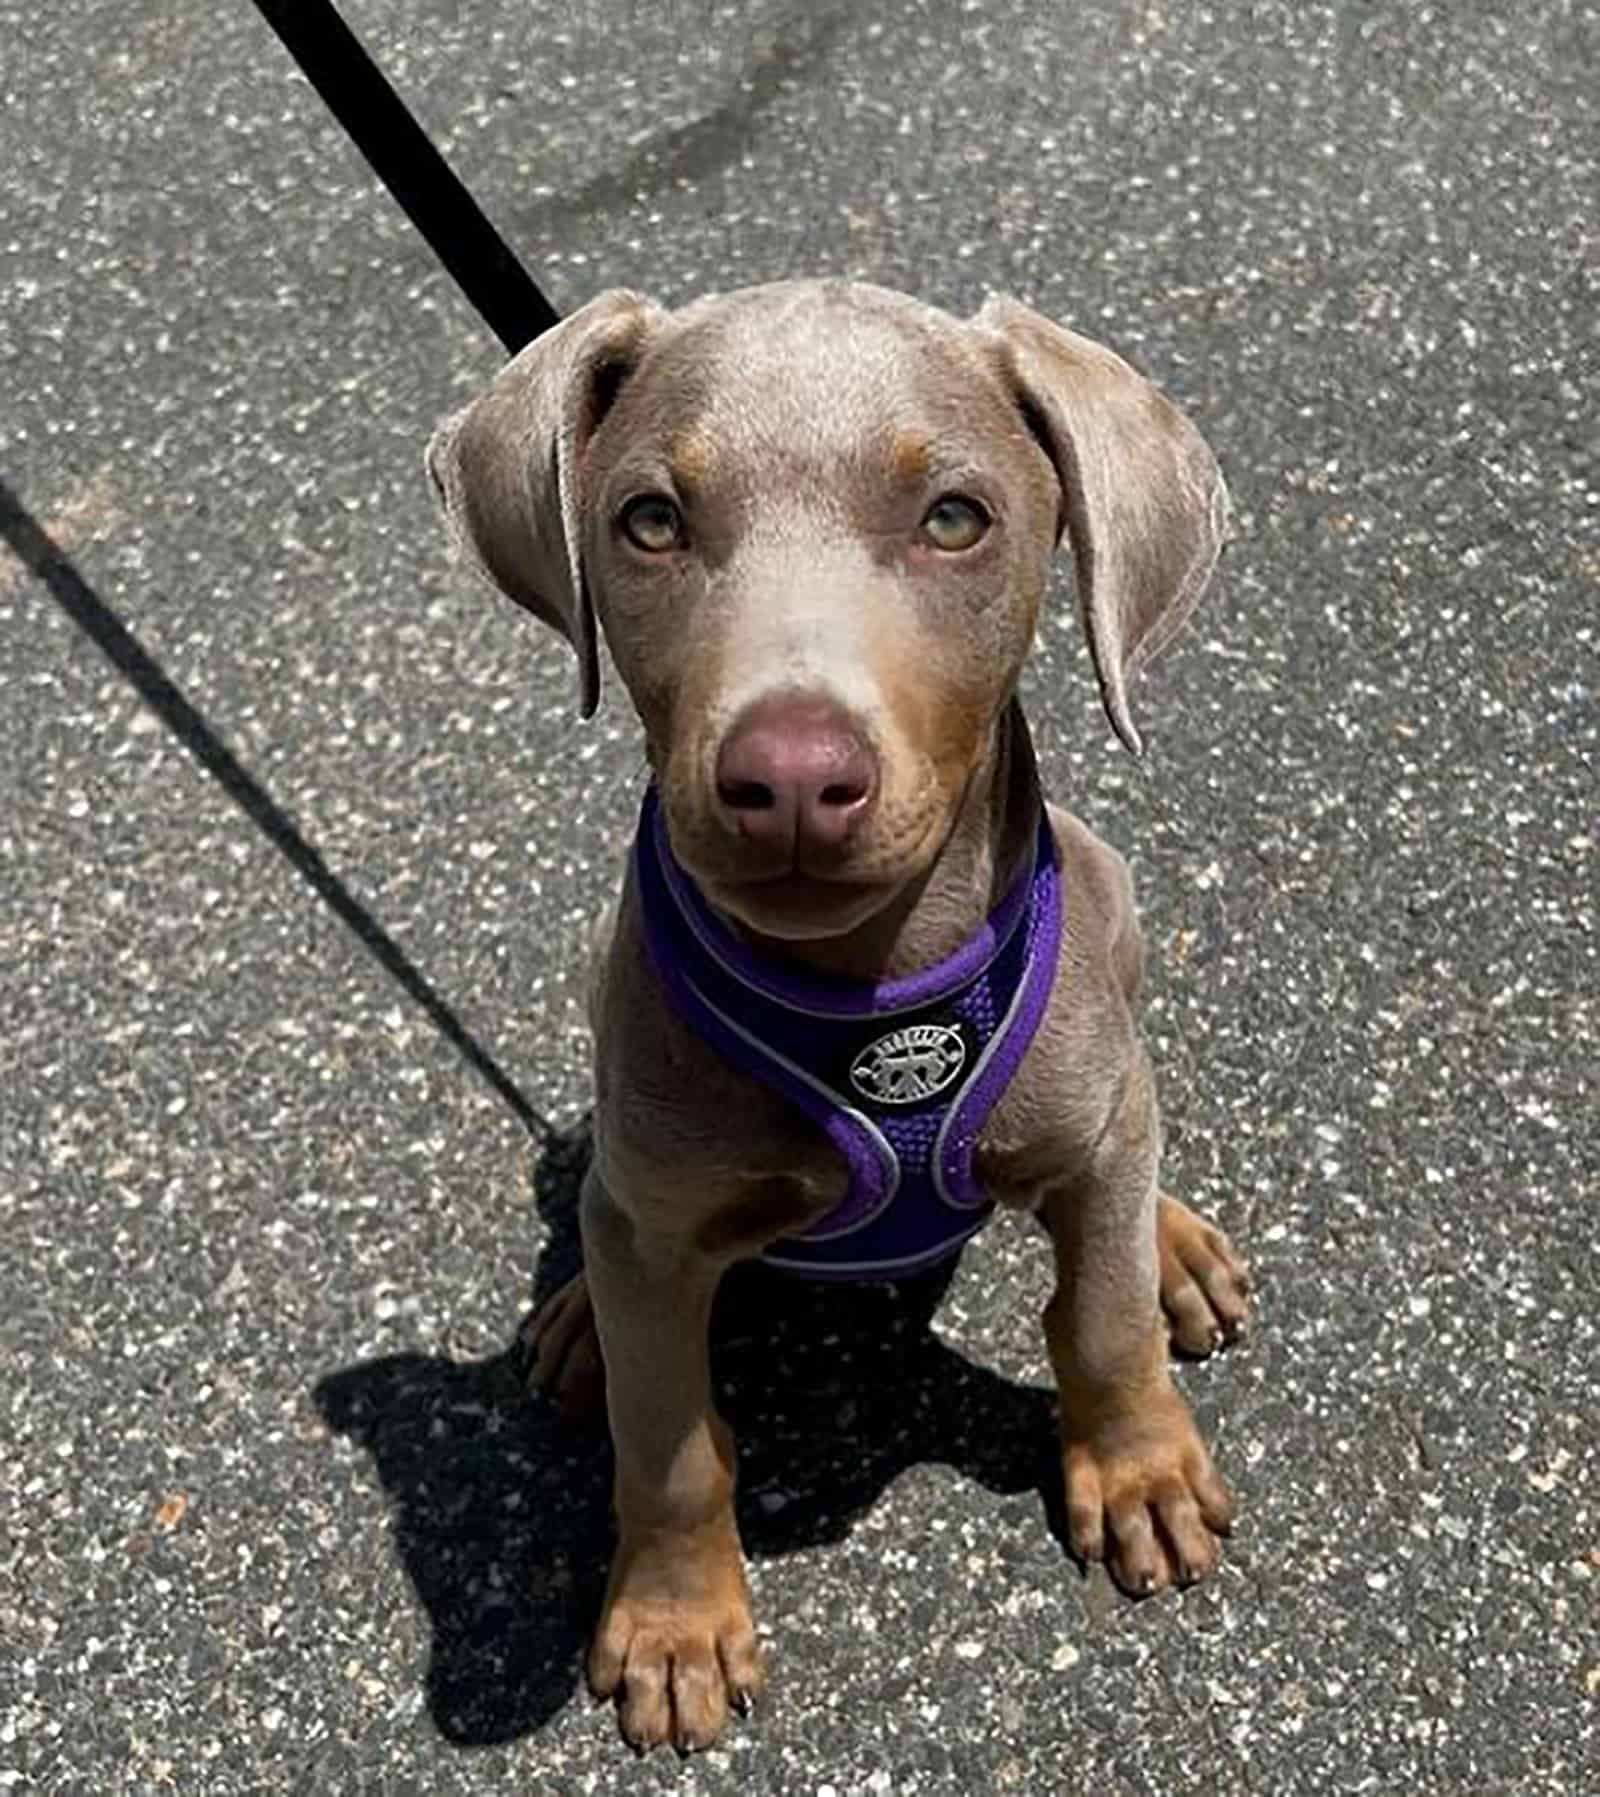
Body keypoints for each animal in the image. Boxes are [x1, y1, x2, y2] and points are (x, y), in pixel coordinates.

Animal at [424, 283, 1244, 1753]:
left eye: (956, 518)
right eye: (648, 521)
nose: (792, 780)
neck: (869, 996)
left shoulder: (1083, 1124)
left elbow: (1101, 1315)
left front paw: (1138, 1465)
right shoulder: (661, 1221)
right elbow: (670, 1443)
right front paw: (676, 1621)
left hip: (1113, 906)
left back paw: (1174, 1244)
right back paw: (575, 1317)